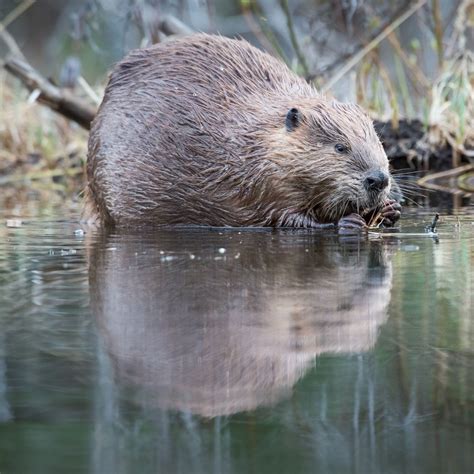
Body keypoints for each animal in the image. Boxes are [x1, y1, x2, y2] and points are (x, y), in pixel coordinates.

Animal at [85, 32, 400, 229]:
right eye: (340, 147)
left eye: (378, 142)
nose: (378, 179)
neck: (257, 142)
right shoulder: (263, 187)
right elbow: (287, 219)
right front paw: (347, 222)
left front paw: (390, 210)